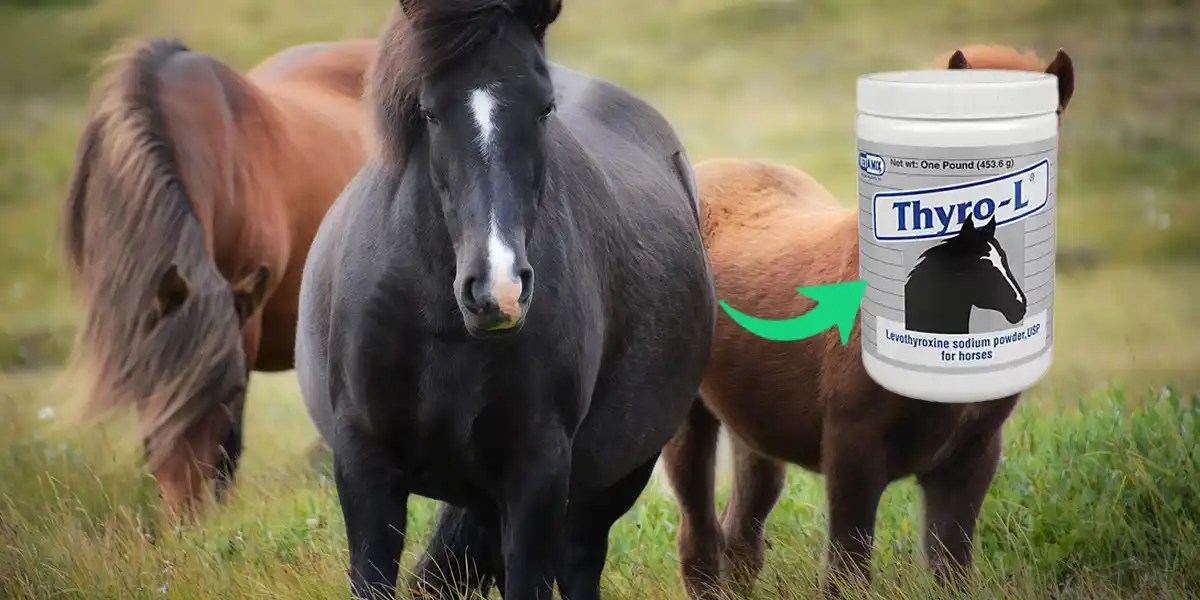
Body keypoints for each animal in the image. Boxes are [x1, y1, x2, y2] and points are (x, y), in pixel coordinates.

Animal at [295, 1, 715, 598]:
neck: (440, 325)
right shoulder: (364, 466)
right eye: (429, 111)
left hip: (611, 480)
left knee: (579, 561)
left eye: (544, 108)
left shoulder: (536, 474)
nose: (499, 291)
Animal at [662, 45, 1075, 598]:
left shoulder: (971, 457)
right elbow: (848, 565)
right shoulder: (853, 450)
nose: (1019, 305)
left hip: (754, 428)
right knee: (699, 536)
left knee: (741, 534)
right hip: (687, 419)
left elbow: (951, 564)